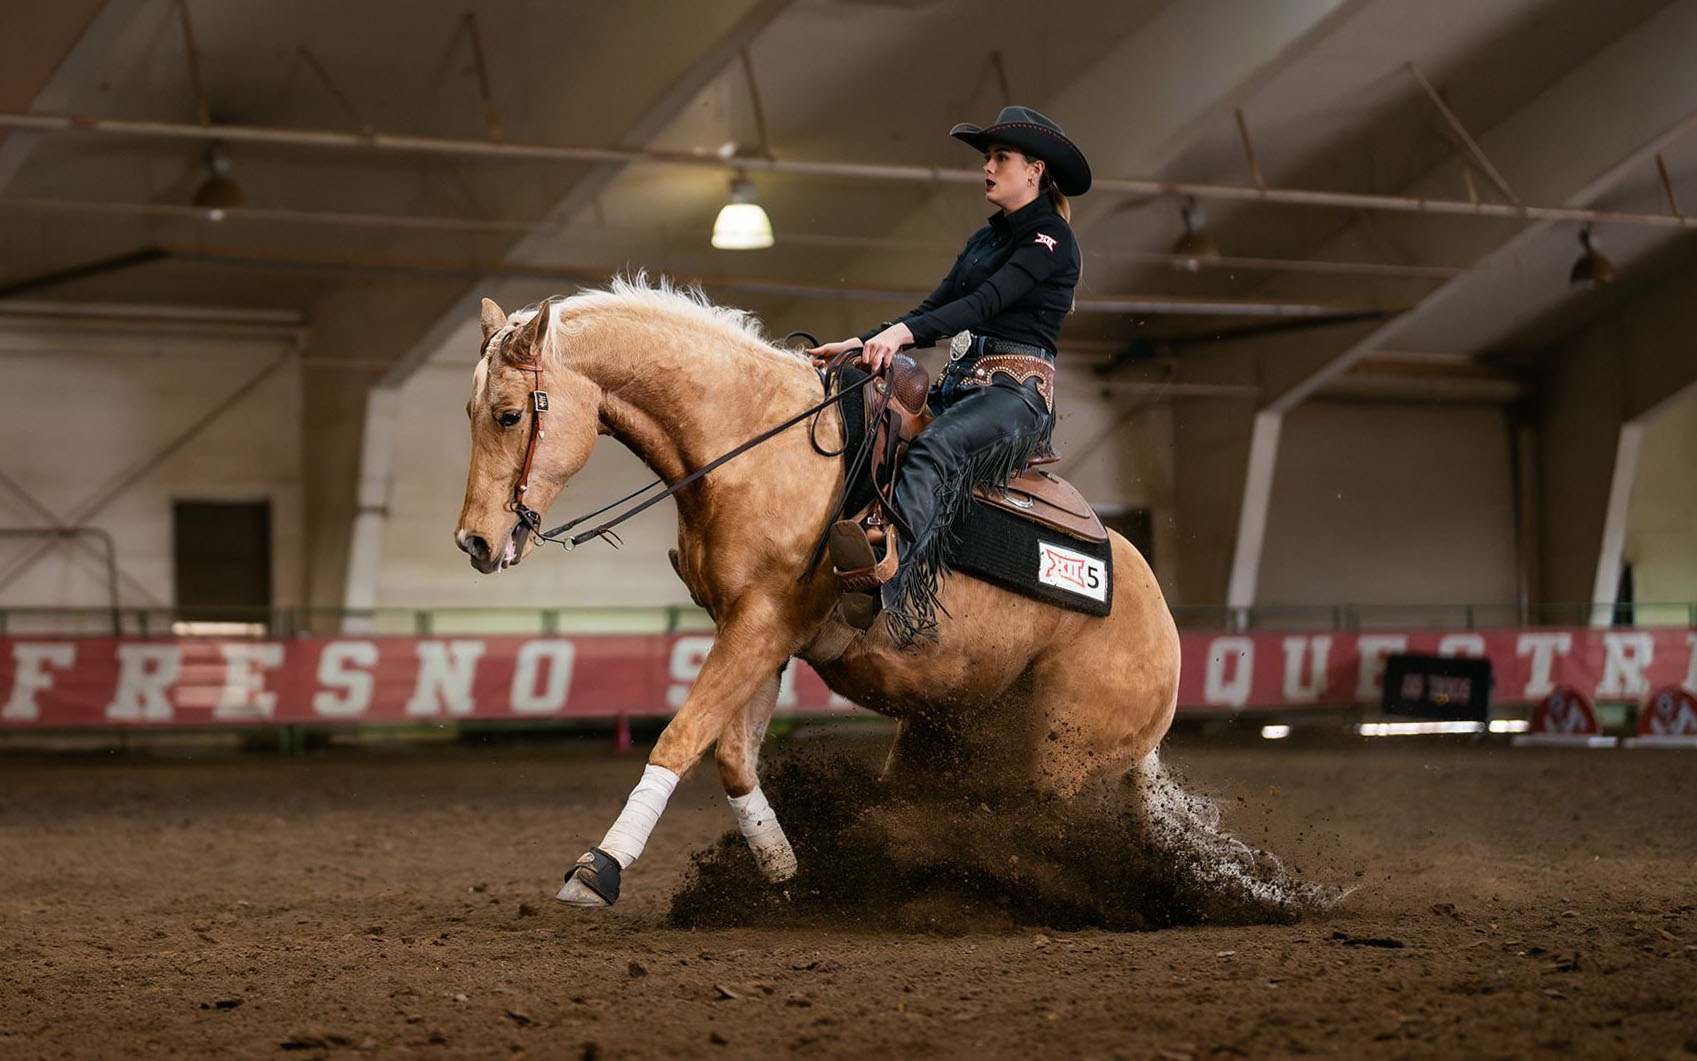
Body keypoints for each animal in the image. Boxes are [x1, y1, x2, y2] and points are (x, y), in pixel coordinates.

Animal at [458, 276, 1187, 903]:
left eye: (508, 415)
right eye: (472, 411)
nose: (474, 542)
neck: (753, 448)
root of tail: (1160, 624)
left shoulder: (761, 623)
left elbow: (680, 736)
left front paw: (599, 867)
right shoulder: (756, 634)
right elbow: (733, 757)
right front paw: (786, 877)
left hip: (1060, 751)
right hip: (940, 732)